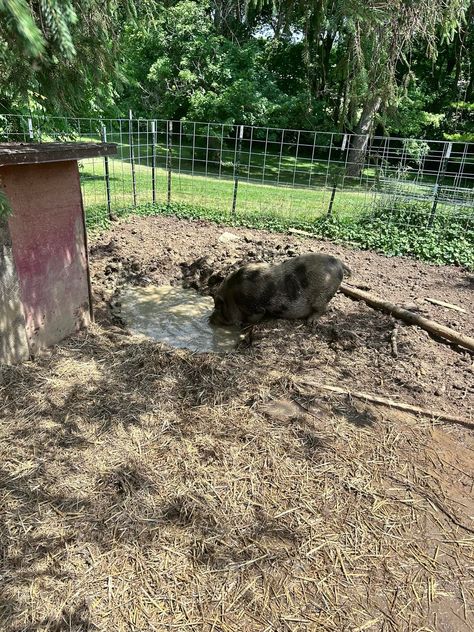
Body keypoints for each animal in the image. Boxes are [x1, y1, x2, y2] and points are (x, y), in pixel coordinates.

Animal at [209, 254, 350, 328]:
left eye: (218, 307)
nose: (209, 319)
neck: (232, 295)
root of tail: (338, 263)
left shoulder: (255, 307)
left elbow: (254, 317)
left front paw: (244, 324)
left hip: (323, 296)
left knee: (322, 308)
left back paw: (311, 322)